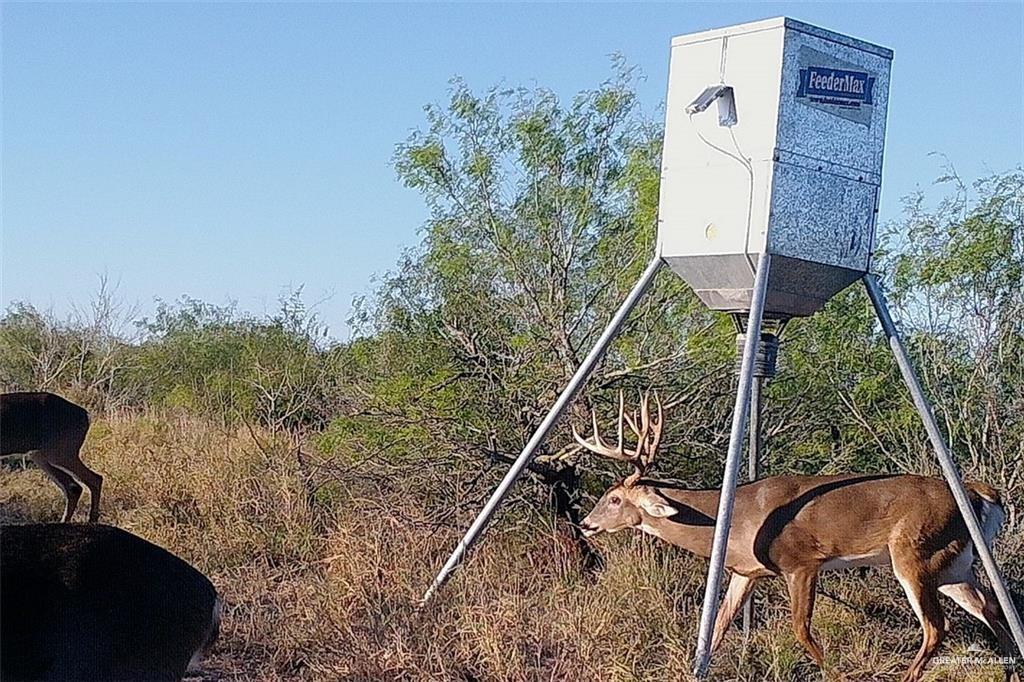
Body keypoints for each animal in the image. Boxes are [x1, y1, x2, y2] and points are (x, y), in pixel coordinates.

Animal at [573, 391, 1019, 675]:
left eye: (614, 498)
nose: (585, 523)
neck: (736, 520)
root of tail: (980, 493)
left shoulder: (801, 562)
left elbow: (800, 630)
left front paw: (834, 673)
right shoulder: (745, 572)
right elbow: (715, 630)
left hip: (914, 553)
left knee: (936, 627)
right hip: (953, 564)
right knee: (993, 610)